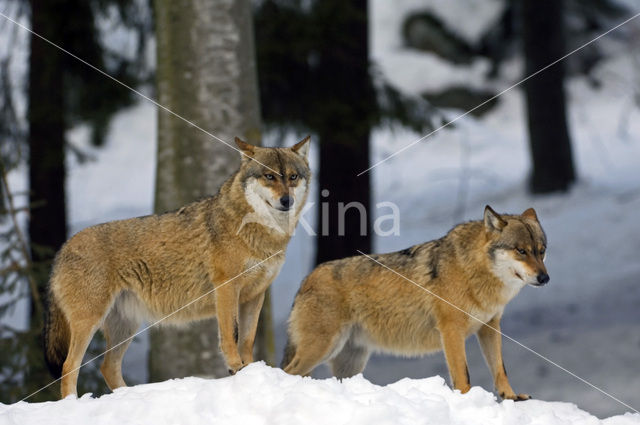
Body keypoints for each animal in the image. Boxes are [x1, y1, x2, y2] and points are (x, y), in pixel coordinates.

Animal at [46, 136, 312, 398]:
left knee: (107, 367)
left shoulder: (255, 295)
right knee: (69, 367)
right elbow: (230, 335)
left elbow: (246, 340)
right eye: (269, 176)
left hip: (125, 327)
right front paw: (236, 368)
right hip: (90, 323)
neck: (260, 233)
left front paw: (249, 371)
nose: (286, 200)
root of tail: (62, 250)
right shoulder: (227, 288)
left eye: (292, 177)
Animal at [284, 205, 552, 400]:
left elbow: (499, 369)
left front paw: (511, 397)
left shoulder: (490, 327)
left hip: (349, 363)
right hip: (321, 348)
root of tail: (306, 279)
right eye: (521, 251)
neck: (472, 271)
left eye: (541, 251)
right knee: (287, 372)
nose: (545, 278)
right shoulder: (451, 331)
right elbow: (462, 375)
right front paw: (466, 400)